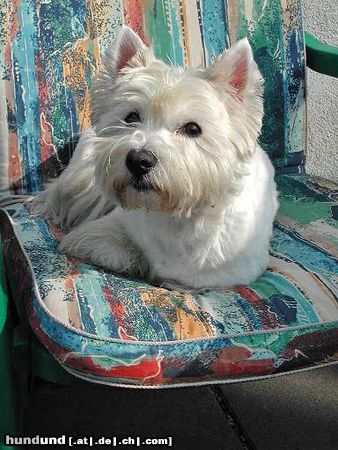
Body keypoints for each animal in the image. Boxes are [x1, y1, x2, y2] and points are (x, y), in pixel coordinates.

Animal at [28, 26, 278, 290]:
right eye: (131, 117)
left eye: (193, 128)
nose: (138, 161)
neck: (178, 217)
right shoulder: (104, 229)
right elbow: (113, 248)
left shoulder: (233, 273)